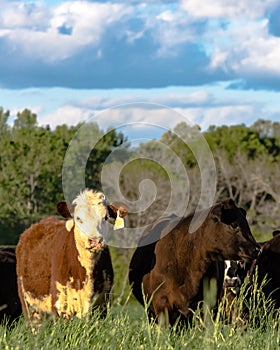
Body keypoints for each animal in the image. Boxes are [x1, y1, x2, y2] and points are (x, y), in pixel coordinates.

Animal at [16, 189, 128, 322]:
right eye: (78, 218)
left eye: (105, 217)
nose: (95, 240)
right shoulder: (60, 304)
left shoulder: (102, 303)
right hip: (30, 307)